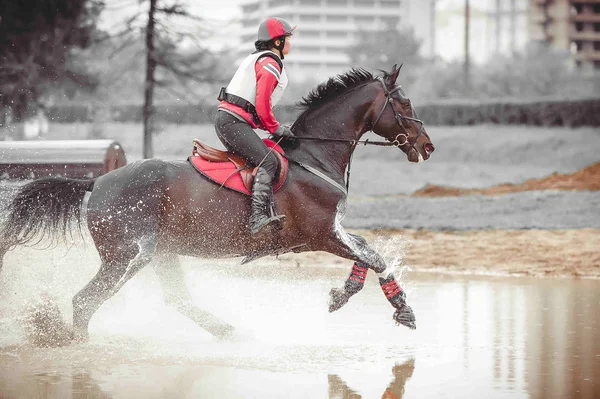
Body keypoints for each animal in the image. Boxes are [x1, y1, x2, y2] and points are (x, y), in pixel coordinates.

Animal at [0, 64, 432, 342]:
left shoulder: (331, 232)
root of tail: (98, 181)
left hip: (161, 252)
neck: (313, 156)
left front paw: (370, 299)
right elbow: (372, 256)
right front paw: (384, 305)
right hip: (127, 256)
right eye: (406, 104)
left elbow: (367, 251)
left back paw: (226, 330)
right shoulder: (320, 235)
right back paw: (79, 347)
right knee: (85, 301)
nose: (428, 146)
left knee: (175, 298)